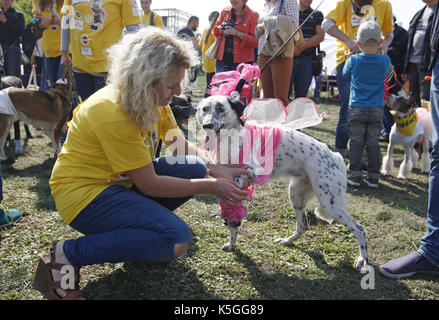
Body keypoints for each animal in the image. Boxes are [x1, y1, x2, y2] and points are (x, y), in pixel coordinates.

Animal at [198, 94, 370, 270]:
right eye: (204, 109)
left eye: (221, 109)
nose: (207, 125)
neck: (231, 137)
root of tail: (336, 156)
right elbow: (232, 220)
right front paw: (232, 243)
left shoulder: (252, 169)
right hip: (296, 195)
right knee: (303, 226)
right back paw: (287, 241)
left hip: (331, 203)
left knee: (359, 229)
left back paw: (362, 259)